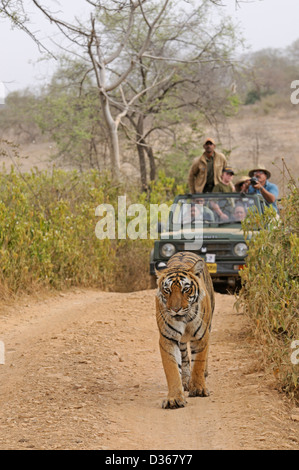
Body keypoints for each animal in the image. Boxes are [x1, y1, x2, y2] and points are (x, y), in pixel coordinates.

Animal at [155, 252, 216, 410]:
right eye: (167, 290)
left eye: (186, 289)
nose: (175, 309)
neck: (185, 320)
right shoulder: (168, 338)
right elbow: (172, 369)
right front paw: (174, 399)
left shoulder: (201, 336)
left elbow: (199, 362)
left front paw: (199, 389)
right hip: (181, 341)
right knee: (184, 358)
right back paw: (185, 381)